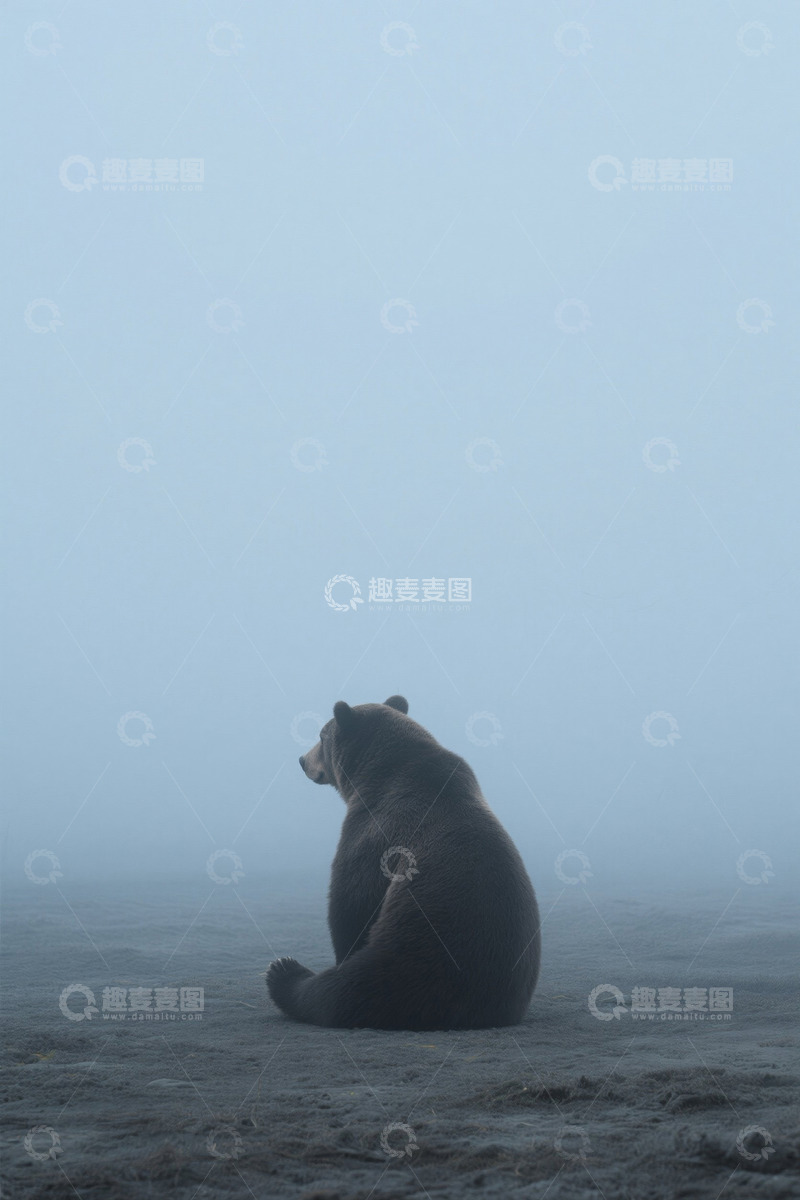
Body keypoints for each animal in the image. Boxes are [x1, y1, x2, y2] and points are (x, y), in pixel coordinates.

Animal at [266, 695, 541, 1030]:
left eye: (321, 735)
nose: (302, 760)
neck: (378, 773)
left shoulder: (377, 830)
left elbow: (351, 901)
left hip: (414, 954)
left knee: (344, 992)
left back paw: (284, 971)